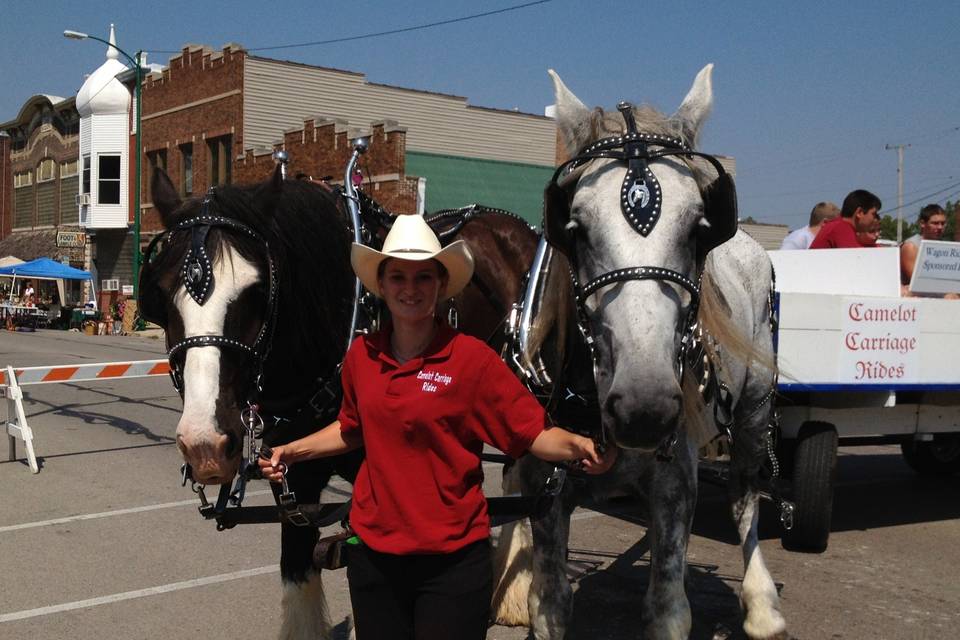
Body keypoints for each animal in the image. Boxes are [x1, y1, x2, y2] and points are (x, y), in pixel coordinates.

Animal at [496, 65, 788, 640]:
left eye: (700, 227)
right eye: (574, 227)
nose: (644, 408)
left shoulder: (676, 480)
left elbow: (669, 605)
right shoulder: (545, 487)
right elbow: (551, 599)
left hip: (752, 413)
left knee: (745, 500)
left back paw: (762, 605)